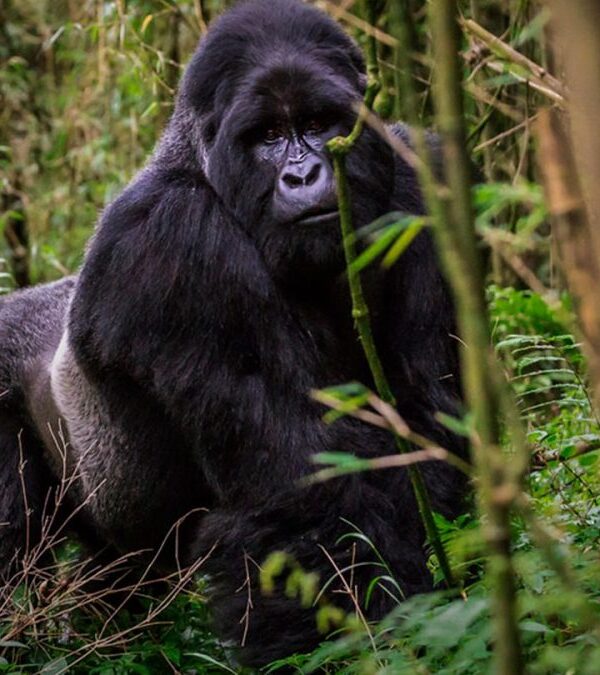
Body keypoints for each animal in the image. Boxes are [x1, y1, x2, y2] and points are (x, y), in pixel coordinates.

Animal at [0, 0, 466, 668]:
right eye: (268, 136)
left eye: (320, 122)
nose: (303, 175)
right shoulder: (178, 244)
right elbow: (305, 493)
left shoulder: (417, 181)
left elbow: (430, 414)